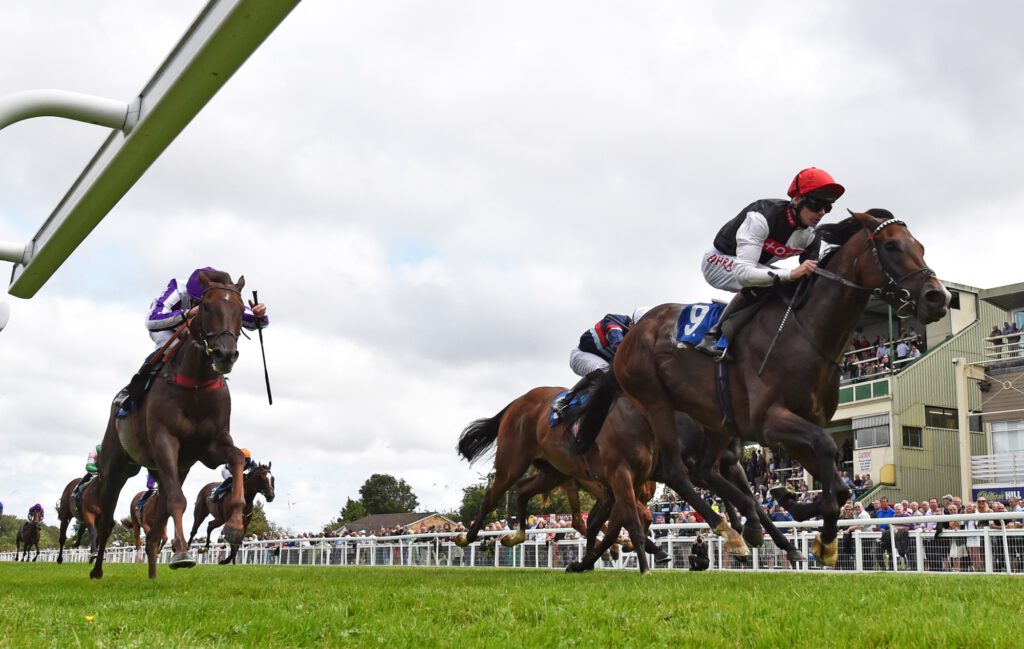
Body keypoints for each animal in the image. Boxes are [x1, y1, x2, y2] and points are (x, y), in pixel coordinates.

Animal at [90, 268, 253, 577]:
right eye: (206, 307)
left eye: (241, 310)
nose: (225, 354)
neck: (196, 384)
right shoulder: (165, 441)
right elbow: (178, 500)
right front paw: (182, 555)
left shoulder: (210, 446)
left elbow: (238, 458)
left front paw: (235, 526)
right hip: (116, 468)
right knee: (107, 519)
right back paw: (96, 571)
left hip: (174, 468)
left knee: (156, 525)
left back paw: (153, 575)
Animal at [581, 209, 946, 565]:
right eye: (891, 246)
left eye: (921, 247)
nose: (937, 297)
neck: (805, 332)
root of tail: (633, 333)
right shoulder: (770, 421)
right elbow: (826, 448)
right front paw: (822, 534)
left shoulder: (799, 425)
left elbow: (838, 485)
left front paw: (798, 509)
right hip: (655, 404)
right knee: (676, 473)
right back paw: (728, 533)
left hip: (714, 420)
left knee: (701, 470)